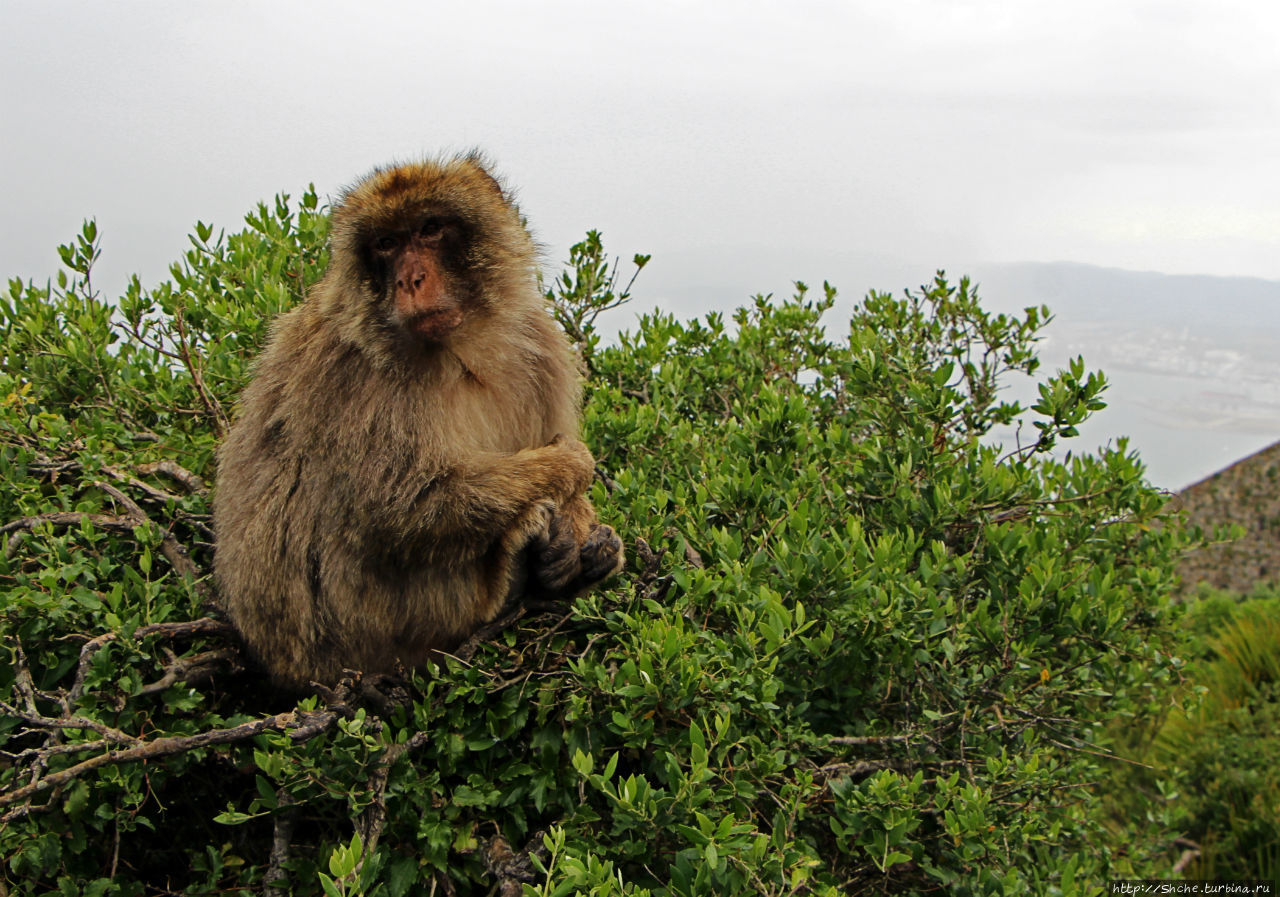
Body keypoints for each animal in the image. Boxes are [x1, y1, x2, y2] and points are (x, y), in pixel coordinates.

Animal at [212, 154, 622, 685]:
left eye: (429, 229)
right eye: (386, 243)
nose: (409, 280)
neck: (462, 347)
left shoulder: (540, 342)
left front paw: (580, 534)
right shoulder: (356, 370)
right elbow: (401, 506)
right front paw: (572, 464)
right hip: (357, 629)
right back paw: (510, 580)